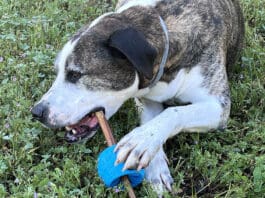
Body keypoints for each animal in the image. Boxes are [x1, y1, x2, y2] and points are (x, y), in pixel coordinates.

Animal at [31, 0, 243, 195]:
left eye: (75, 74)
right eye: (57, 71)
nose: (37, 112)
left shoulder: (219, 106)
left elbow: (173, 113)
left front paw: (139, 141)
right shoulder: (147, 100)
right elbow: (152, 121)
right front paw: (155, 168)